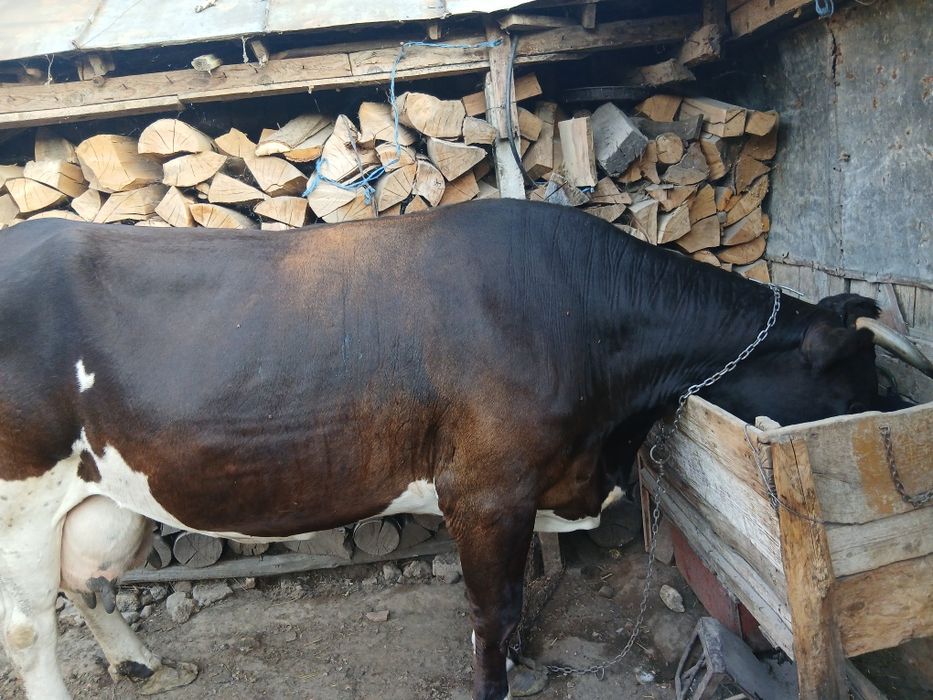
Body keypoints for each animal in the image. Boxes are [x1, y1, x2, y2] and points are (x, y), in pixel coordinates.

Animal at [0, 199, 928, 700]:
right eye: (857, 379)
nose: (894, 409)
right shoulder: (488, 491)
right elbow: (493, 612)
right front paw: (501, 672)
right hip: (20, 499)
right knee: (29, 624)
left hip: (103, 495)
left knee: (88, 582)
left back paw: (139, 662)